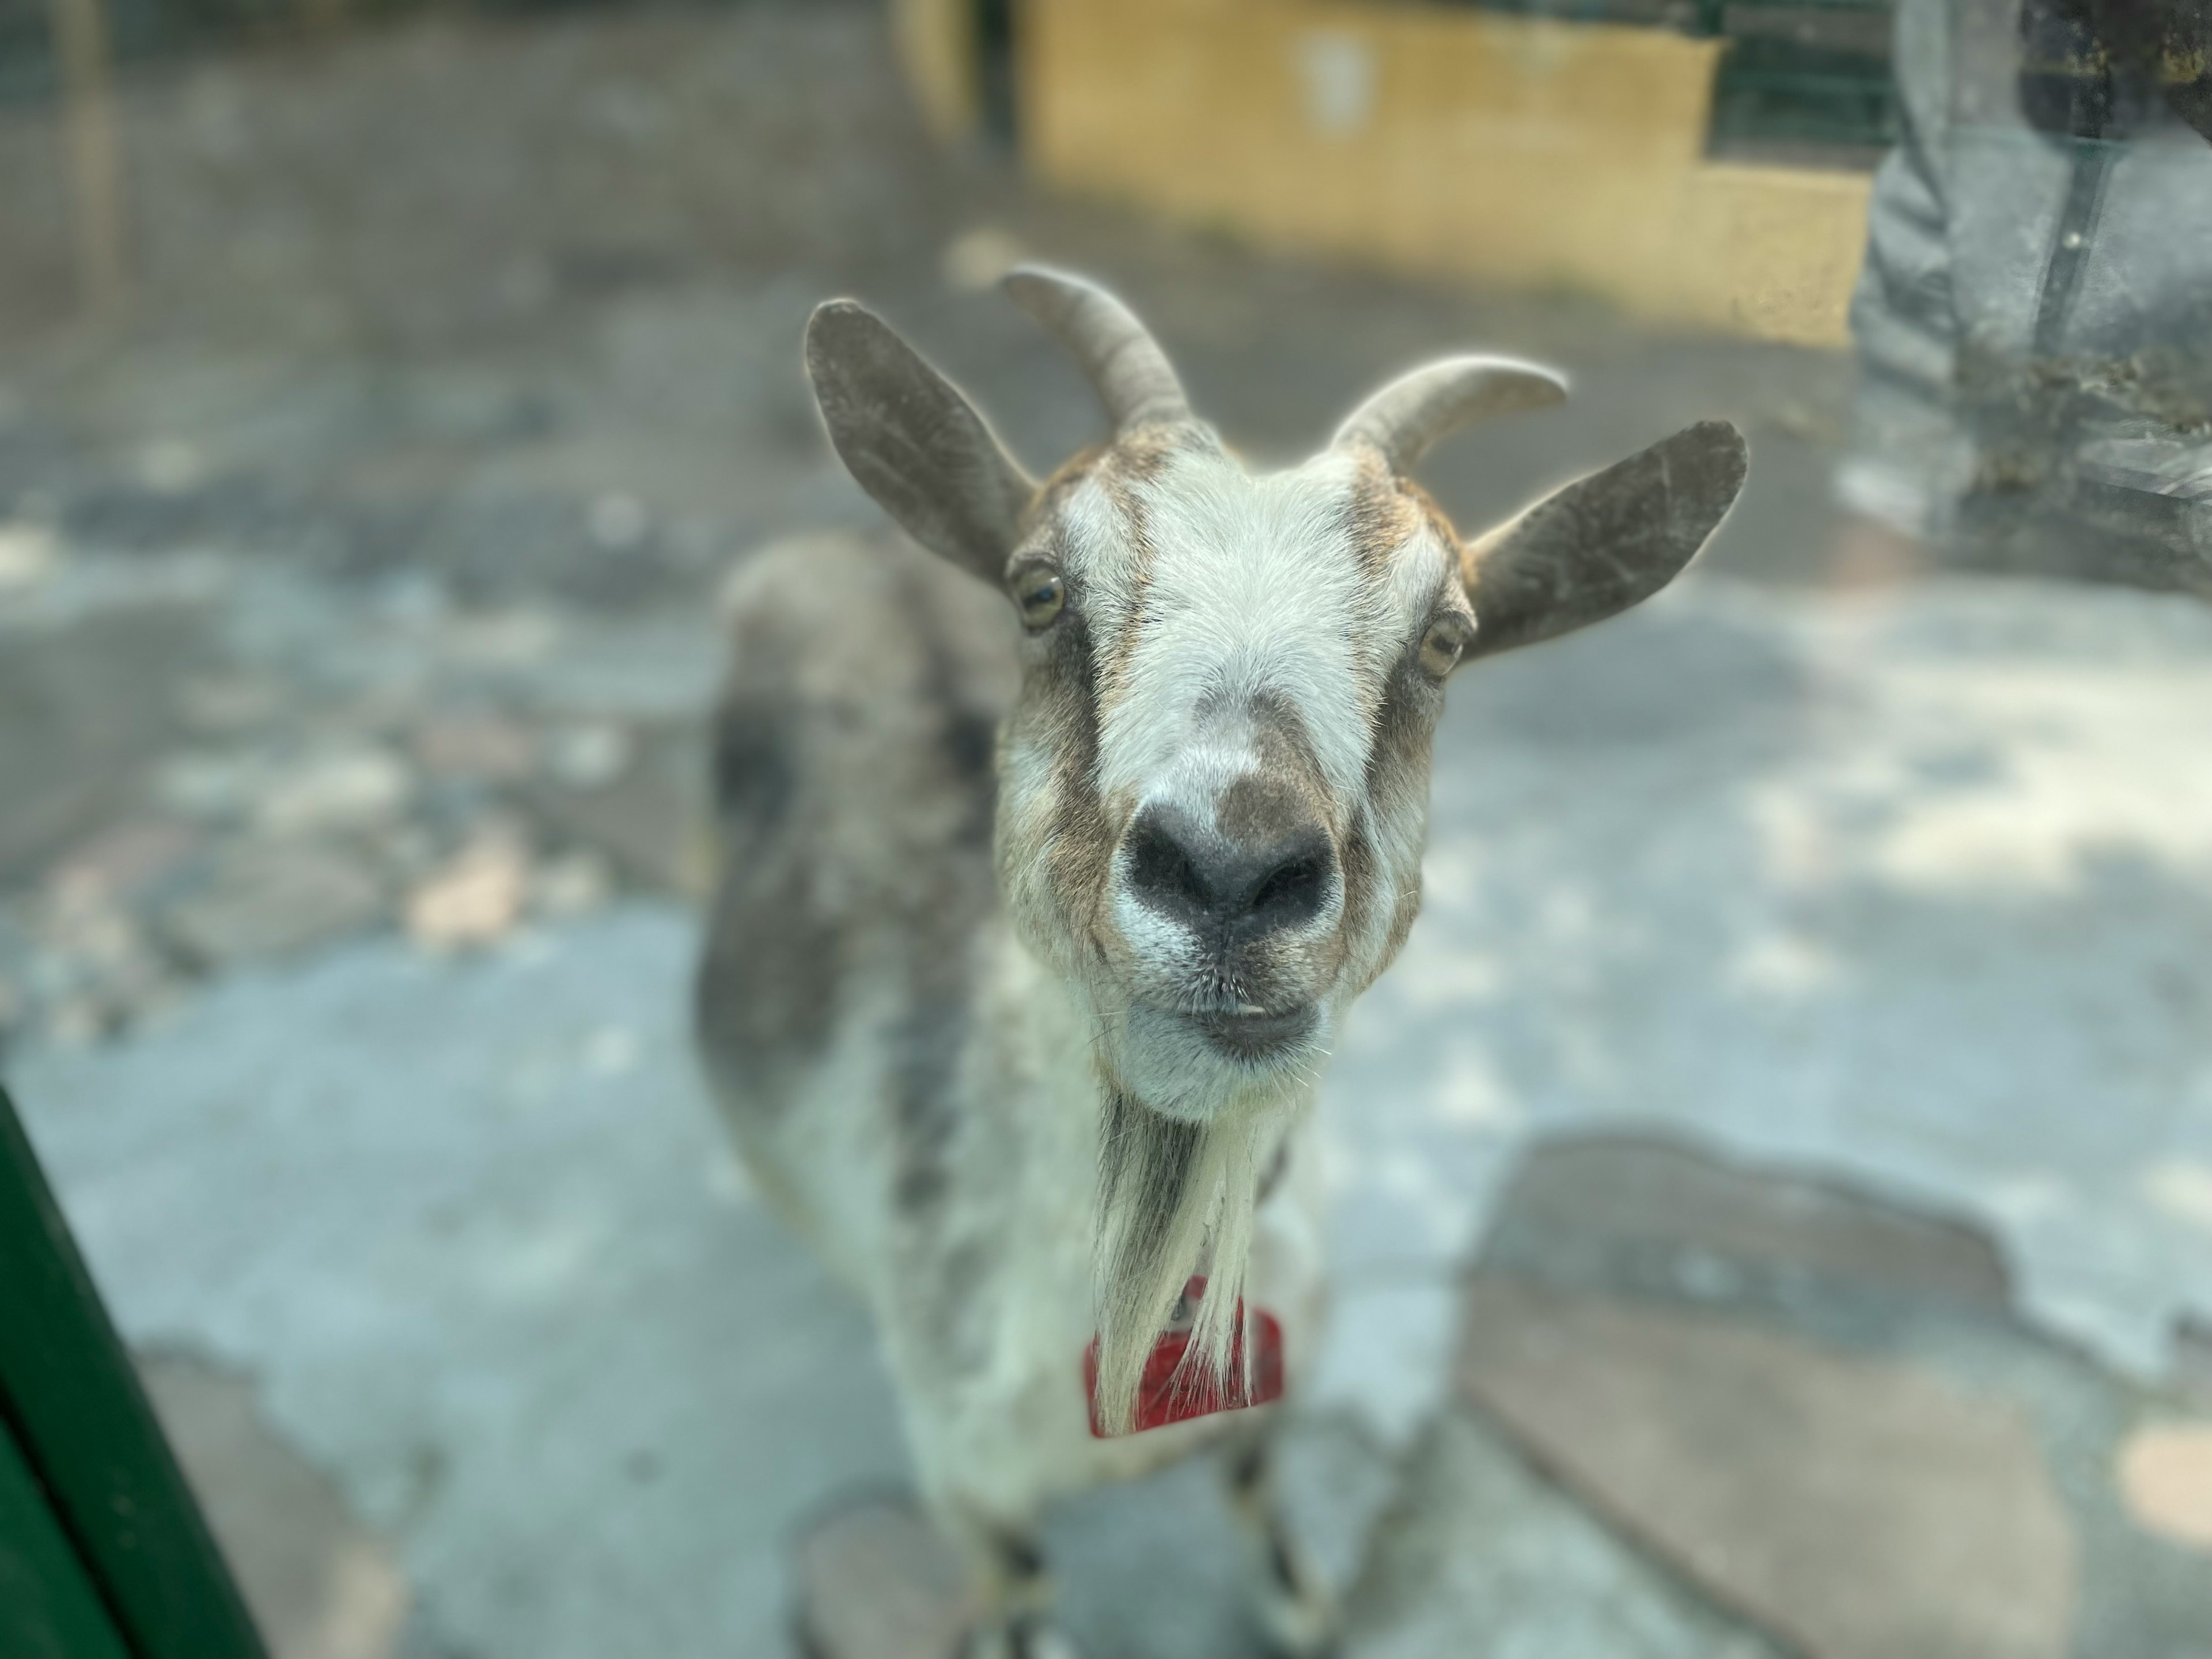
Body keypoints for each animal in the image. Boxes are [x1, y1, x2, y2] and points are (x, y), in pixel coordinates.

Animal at [690, 266, 1743, 1654]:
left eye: (1447, 638)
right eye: (1040, 589)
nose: (1233, 873)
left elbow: (1256, 1487)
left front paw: (1300, 1606)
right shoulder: (970, 1474)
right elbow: (1018, 1592)